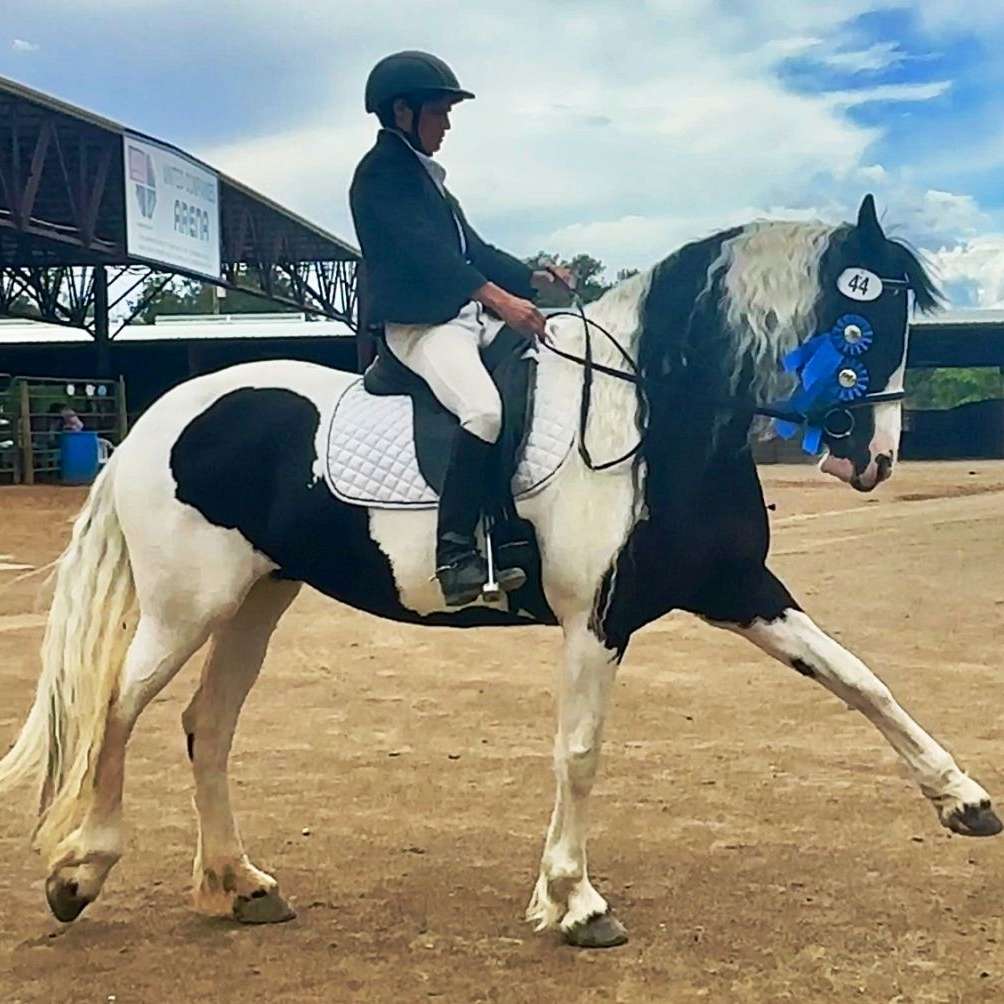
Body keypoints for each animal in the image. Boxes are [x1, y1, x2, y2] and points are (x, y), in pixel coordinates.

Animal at [0, 189, 995, 947]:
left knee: (206, 726)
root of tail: (156, 420)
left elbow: (861, 681)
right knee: (115, 711)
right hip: (187, 606)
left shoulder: (739, 591)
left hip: (256, 601)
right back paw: (79, 874)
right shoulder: (599, 618)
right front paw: (576, 901)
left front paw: (963, 801)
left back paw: (241, 885)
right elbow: (581, 752)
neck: (653, 418)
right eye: (862, 319)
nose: (875, 459)